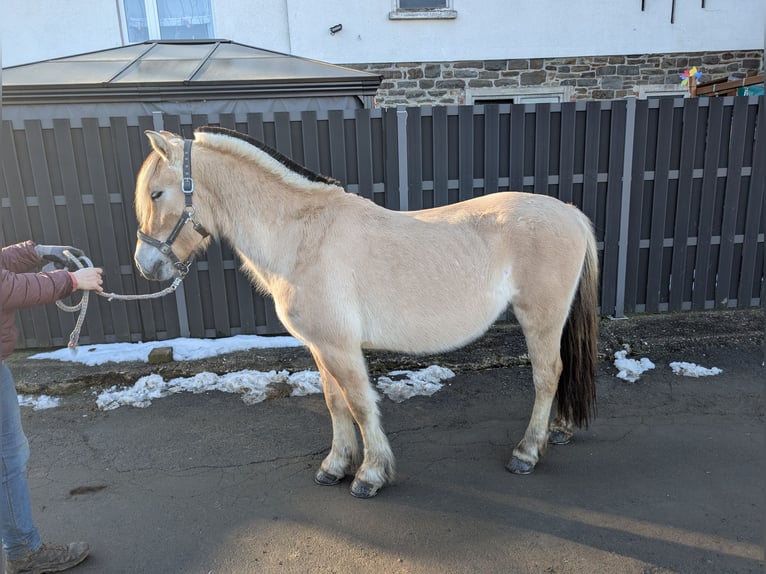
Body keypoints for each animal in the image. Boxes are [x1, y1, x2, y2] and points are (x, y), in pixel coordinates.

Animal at [135, 126, 604, 500]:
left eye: (157, 193)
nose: (145, 265)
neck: (303, 235)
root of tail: (570, 213)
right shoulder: (320, 347)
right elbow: (334, 402)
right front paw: (335, 466)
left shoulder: (341, 348)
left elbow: (360, 404)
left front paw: (369, 474)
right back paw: (558, 431)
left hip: (539, 318)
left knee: (547, 375)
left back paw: (527, 452)